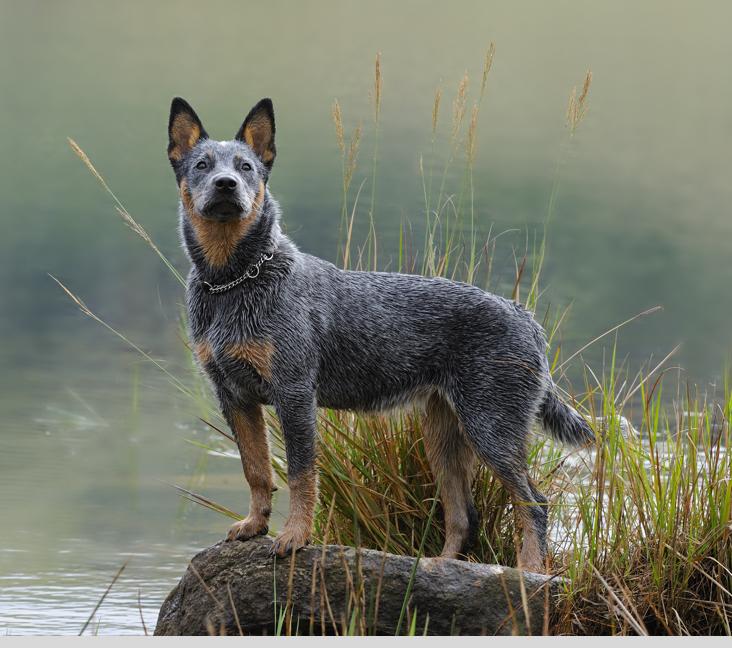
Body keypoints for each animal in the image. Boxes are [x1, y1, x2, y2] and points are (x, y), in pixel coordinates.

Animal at [167, 96, 596, 572]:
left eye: (245, 167)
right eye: (202, 164)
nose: (225, 184)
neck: (233, 283)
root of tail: (526, 318)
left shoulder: (294, 393)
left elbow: (300, 474)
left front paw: (295, 536)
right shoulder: (234, 396)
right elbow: (256, 469)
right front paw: (255, 525)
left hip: (491, 427)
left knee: (533, 502)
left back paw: (530, 571)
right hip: (444, 434)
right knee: (463, 515)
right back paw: (437, 567)